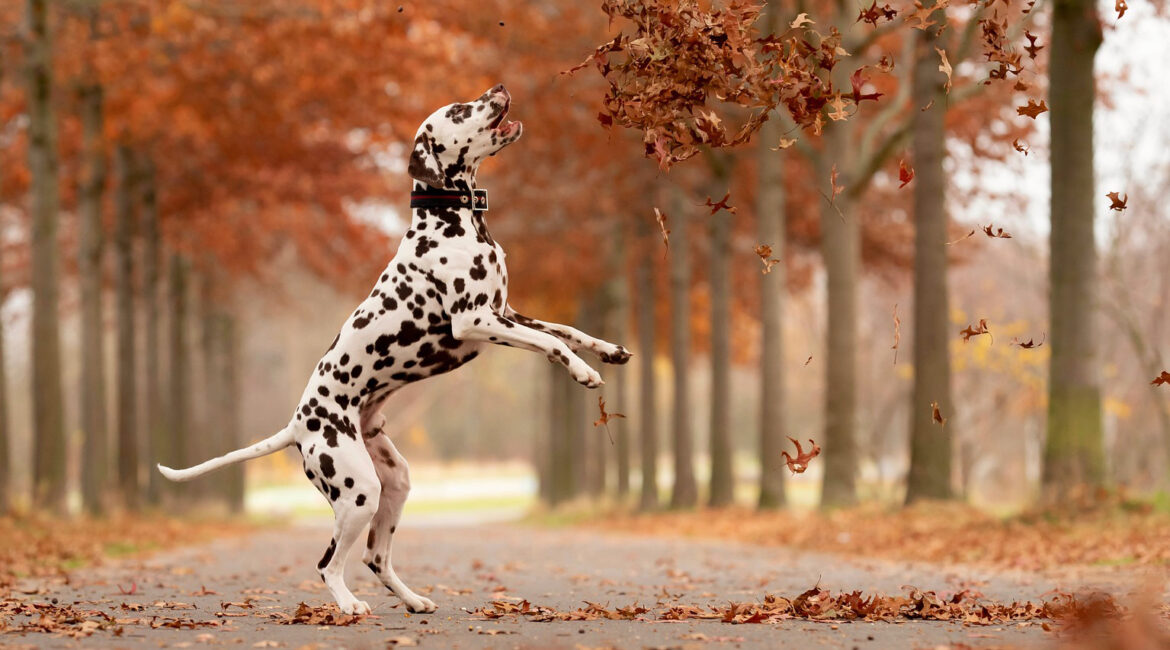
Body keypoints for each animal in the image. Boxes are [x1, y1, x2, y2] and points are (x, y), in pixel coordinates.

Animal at [159, 85, 631, 612]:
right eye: (459, 110)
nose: (499, 88)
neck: (453, 220)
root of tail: (298, 425)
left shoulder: (506, 312)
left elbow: (564, 329)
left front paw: (607, 350)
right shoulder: (477, 319)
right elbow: (550, 342)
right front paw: (582, 372)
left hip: (395, 481)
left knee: (375, 557)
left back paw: (413, 599)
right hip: (357, 490)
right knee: (328, 564)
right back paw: (348, 605)